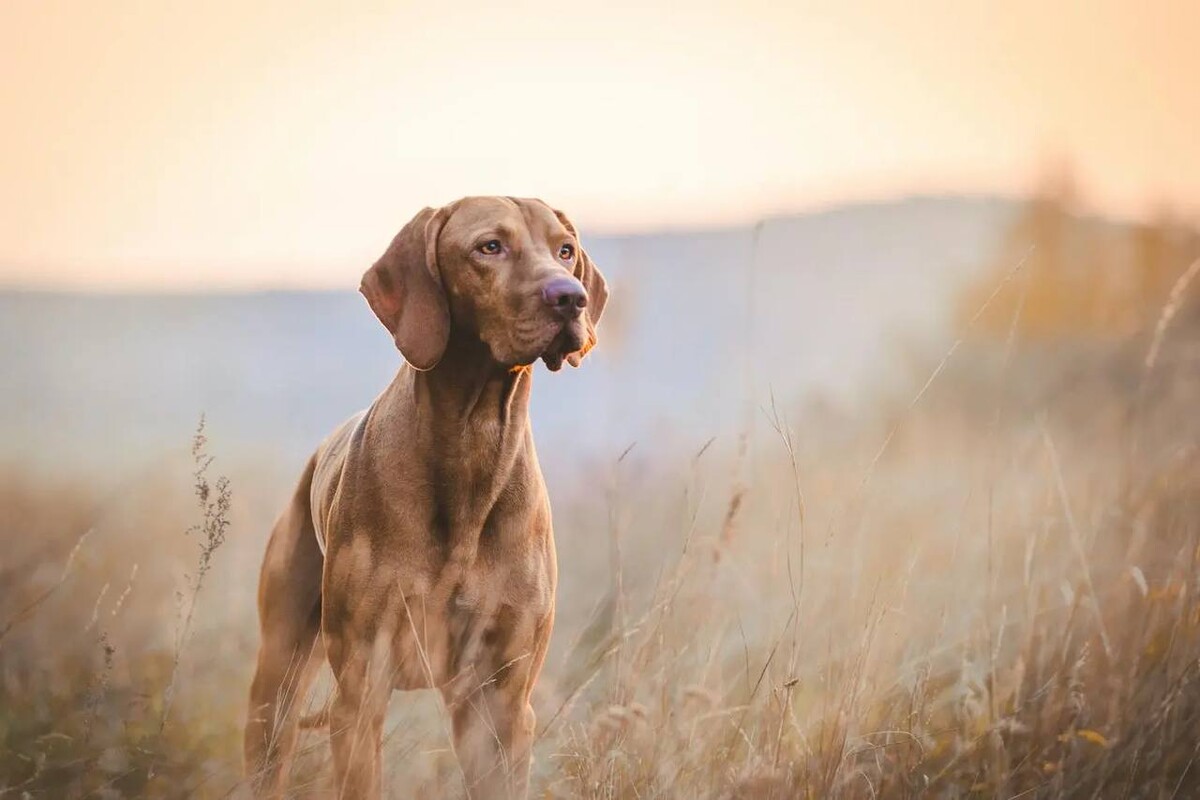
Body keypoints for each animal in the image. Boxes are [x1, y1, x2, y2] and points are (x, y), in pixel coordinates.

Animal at [241, 196, 609, 796]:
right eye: (490, 246)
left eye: (565, 250)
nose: (570, 297)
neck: (473, 443)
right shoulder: (361, 690)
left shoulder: (502, 704)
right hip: (276, 682)